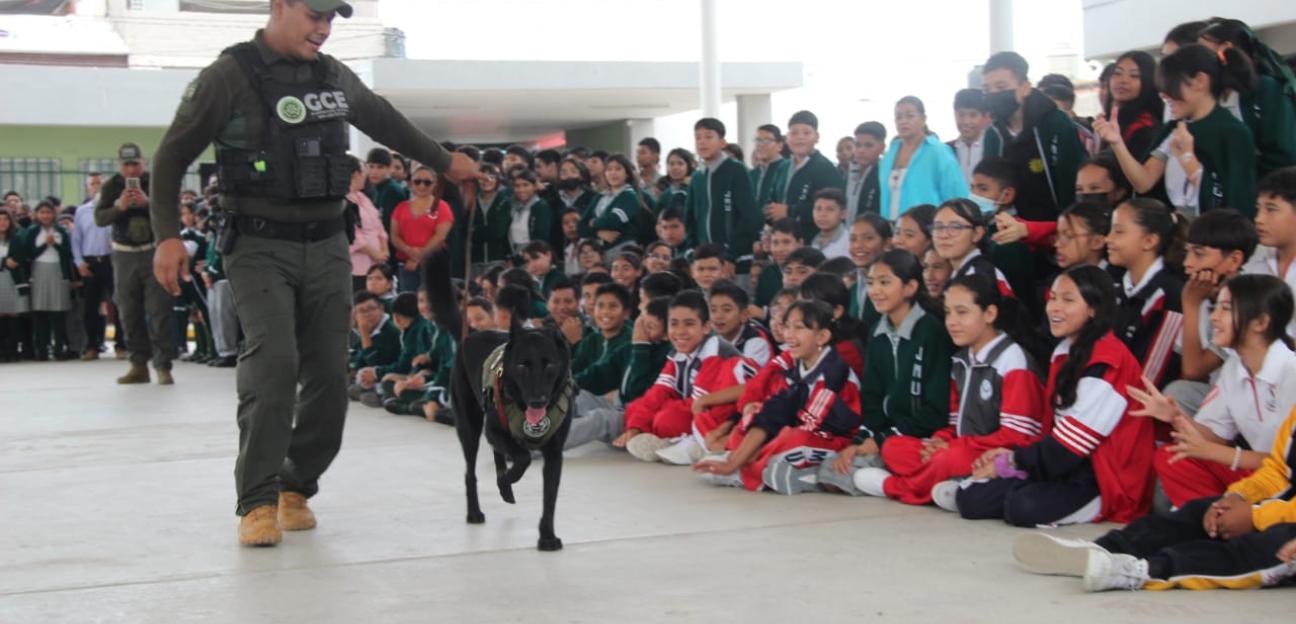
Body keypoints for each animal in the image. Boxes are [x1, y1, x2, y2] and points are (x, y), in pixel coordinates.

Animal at [425, 247, 572, 550]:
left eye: (550, 365)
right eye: (522, 365)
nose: (538, 401)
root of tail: (471, 335)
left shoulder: (554, 452)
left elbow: (549, 497)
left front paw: (547, 536)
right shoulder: (494, 428)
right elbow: (523, 457)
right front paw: (508, 478)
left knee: (497, 454)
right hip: (469, 427)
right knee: (471, 472)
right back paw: (475, 511)